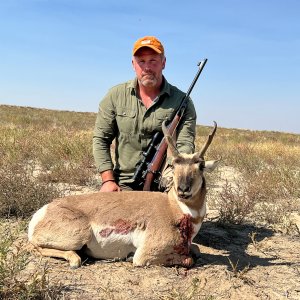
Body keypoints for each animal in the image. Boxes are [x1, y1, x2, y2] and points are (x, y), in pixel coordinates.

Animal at [28, 120, 219, 268]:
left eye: (201, 166)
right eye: (173, 165)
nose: (183, 189)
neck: (172, 208)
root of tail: (44, 210)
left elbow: (196, 249)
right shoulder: (145, 255)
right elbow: (188, 259)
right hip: (80, 235)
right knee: (35, 247)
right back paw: (75, 259)